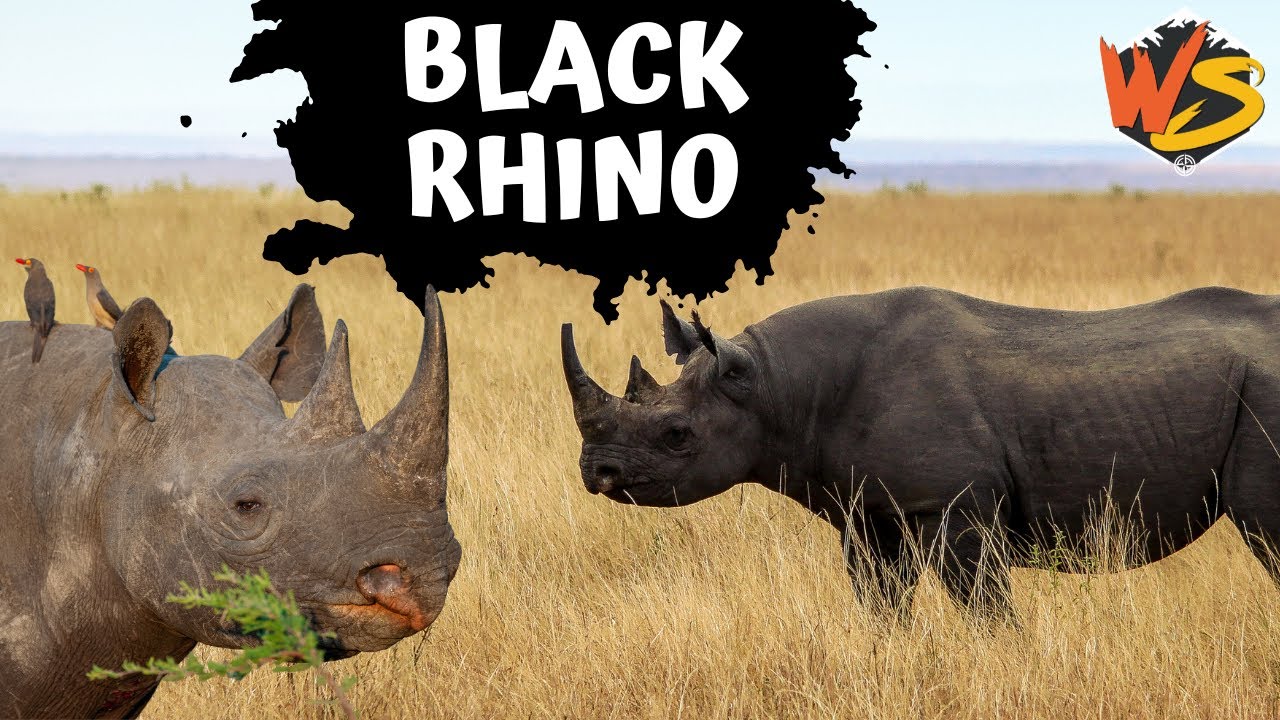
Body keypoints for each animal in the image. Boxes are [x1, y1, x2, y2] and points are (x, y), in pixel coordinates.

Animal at [561, 285, 1280, 622]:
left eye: (678, 435)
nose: (597, 473)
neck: (775, 386)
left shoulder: (954, 505)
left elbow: (986, 610)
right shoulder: (866, 512)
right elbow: (882, 606)